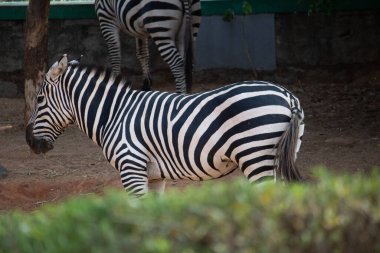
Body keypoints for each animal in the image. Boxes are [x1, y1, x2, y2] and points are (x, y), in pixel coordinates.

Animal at [26, 54, 306, 198]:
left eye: (39, 99)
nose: (29, 141)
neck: (114, 113)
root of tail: (287, 96)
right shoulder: (154, 175)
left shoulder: (131, 168)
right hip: (282, 156)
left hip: (255, 155)